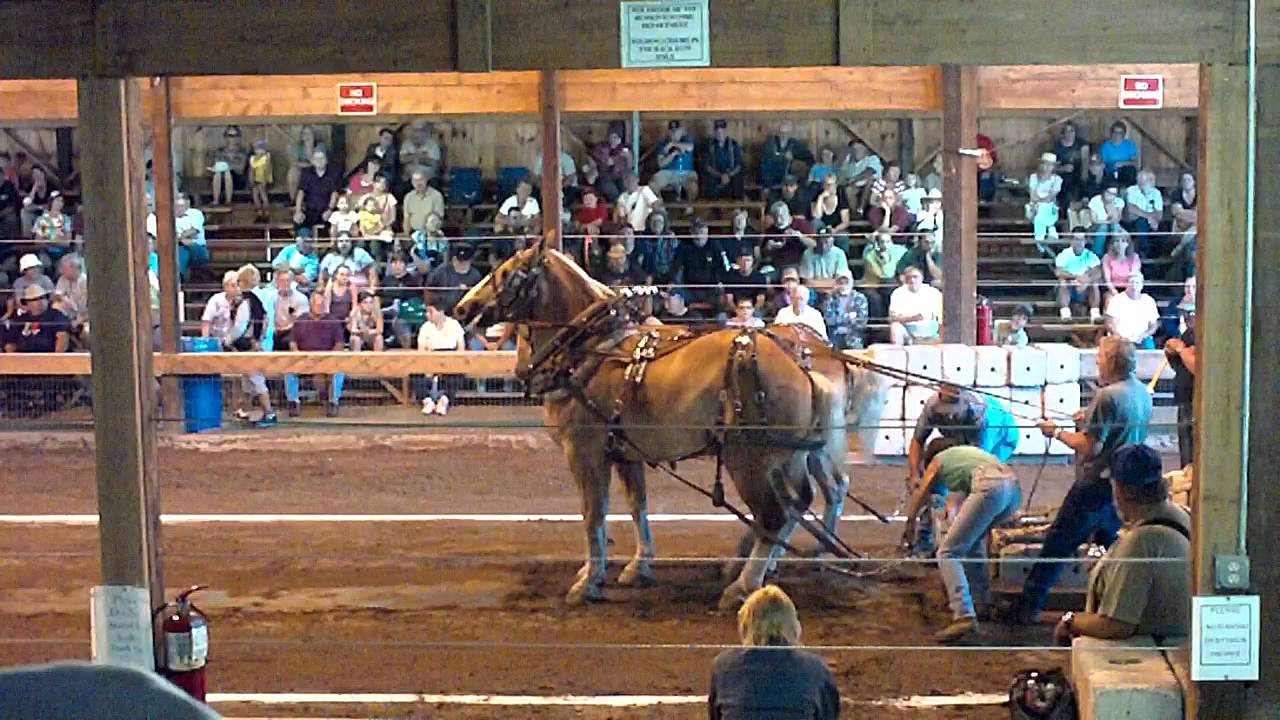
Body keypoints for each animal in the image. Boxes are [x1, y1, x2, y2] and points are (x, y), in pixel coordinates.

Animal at [455, 245, 885, 604]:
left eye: (507, 272)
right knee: (804, 500)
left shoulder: (585, 451)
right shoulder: (625, 453)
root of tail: (802, 357)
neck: (590, 351)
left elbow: (593, 513)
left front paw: (589, 581)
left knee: (779, 512)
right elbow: (636, 506)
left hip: (750, 458)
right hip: (788, 456)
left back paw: (744, 583)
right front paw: (636, 565)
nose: (462, 308)